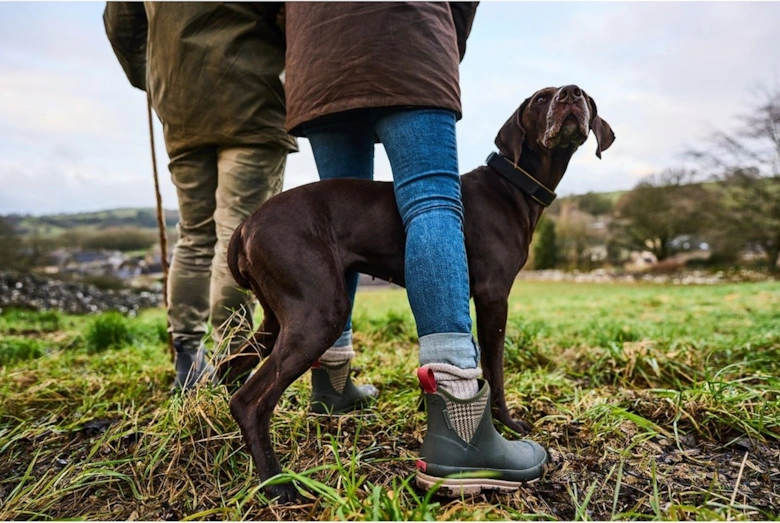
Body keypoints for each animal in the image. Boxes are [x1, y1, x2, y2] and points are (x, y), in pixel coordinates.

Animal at [216, 86, 612, 504]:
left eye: (585, 96)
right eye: (540, 99)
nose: (570, 95)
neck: (512, 186)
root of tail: (245, 226)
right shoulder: (493, 297)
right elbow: (496, 370)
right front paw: (507, 424)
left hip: (280, 317)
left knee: (229, 367)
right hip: (318, 314)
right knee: (250, 401)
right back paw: (277, 483)